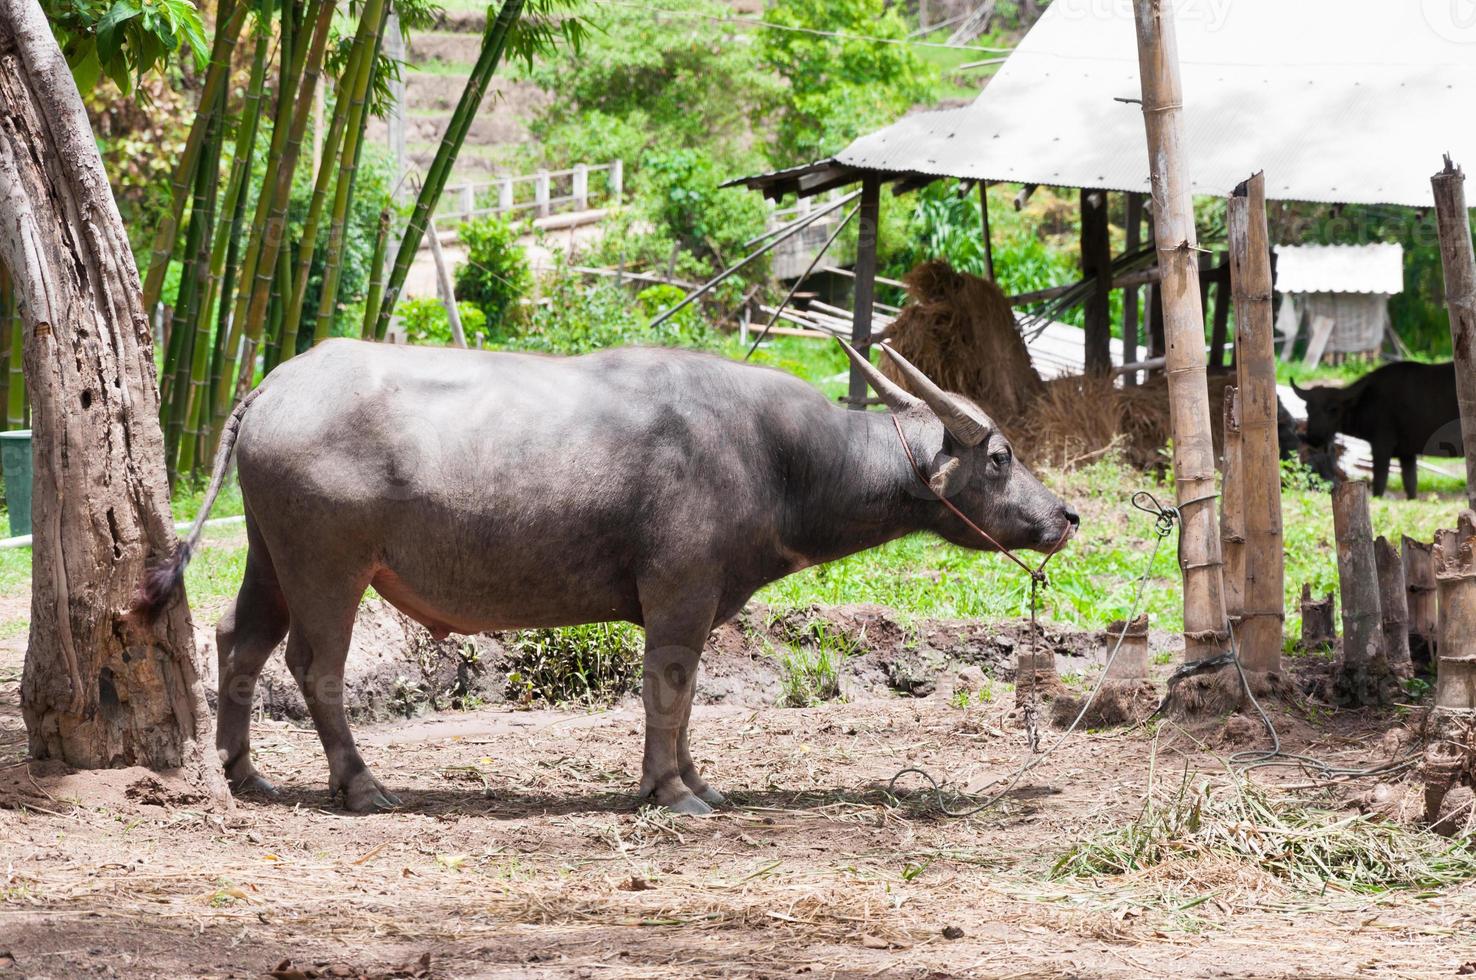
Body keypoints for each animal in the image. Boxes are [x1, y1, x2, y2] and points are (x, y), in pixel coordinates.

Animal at [140, 340, 1074, 814]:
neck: (776, 456)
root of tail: (273, 385)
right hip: (329, 562)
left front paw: (698, 781)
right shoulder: (678, 593)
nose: (1065, 516)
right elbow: (668, 688)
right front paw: (669, 792)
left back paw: (243, 773)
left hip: (271, 554)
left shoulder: (698, 602)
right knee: (316, 666)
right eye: (999, 457)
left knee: (239, 642)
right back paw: (362, 785)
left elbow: (689, 695)